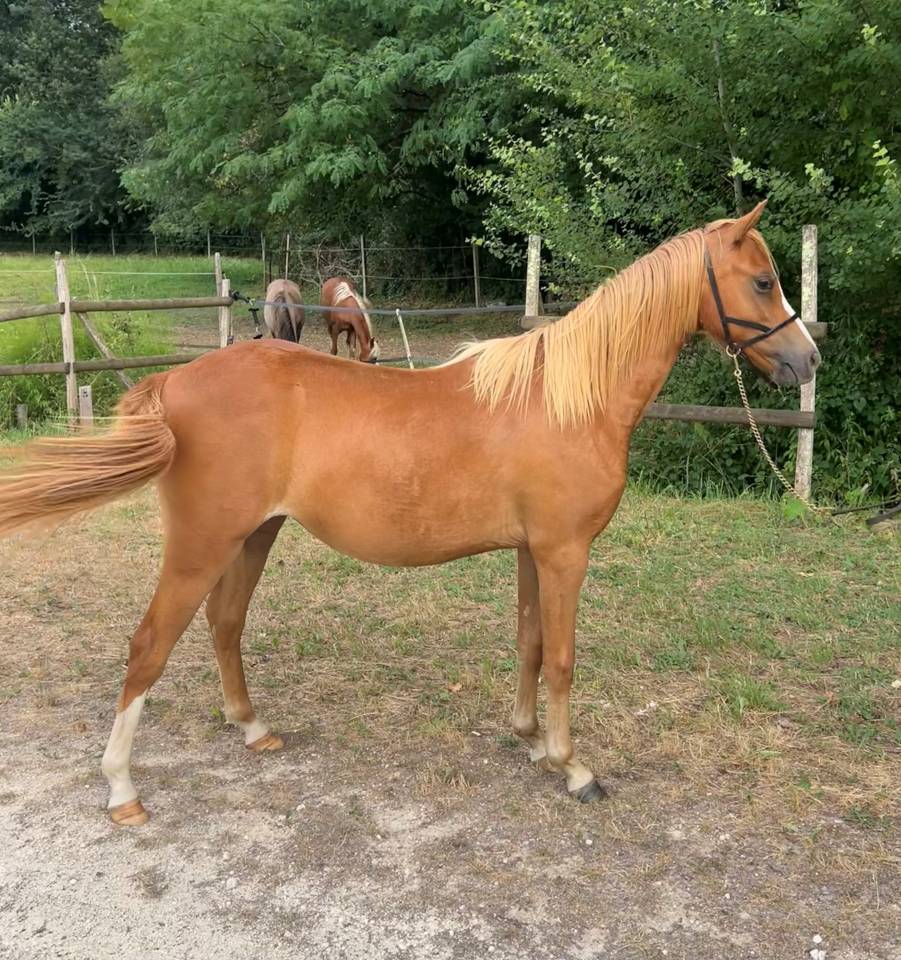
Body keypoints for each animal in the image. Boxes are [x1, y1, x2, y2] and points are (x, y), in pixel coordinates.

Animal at [0, 202, 819, 826]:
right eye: (763, 280)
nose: (808, 360)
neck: (566, 397)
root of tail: (175, 381)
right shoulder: (564, 551)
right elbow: (560, 658)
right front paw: (573, 767)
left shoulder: (532, 552)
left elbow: (529, 645)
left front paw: (529, 741)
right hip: (203, 543)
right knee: (149, 646)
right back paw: (121, 789)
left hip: (254, 534)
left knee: (224, 623)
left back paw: (253, 728)